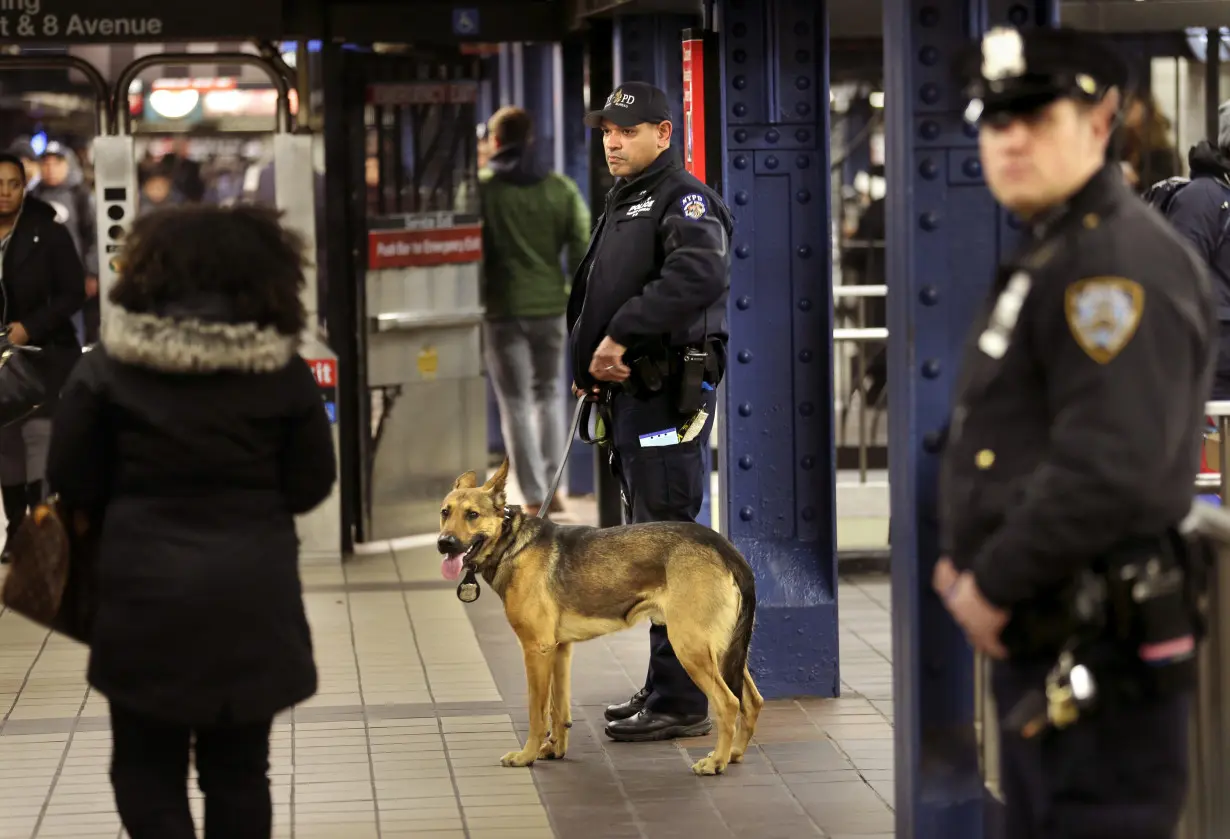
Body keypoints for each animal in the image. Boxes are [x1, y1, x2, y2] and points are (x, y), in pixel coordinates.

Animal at [432, 457, 757, 772]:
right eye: (445, 512)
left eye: (472, 514)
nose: (444, 543)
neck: (512, 542)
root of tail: (723, 546)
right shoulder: (558, 650)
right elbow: (558, 709)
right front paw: (555, 749)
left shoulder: (536, 650)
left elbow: (537, 713)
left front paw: (527, 755)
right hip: (722, 649)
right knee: (751, 701)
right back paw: (735, 754)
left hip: (690, 646)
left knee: (728, 703)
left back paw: (716, 762)